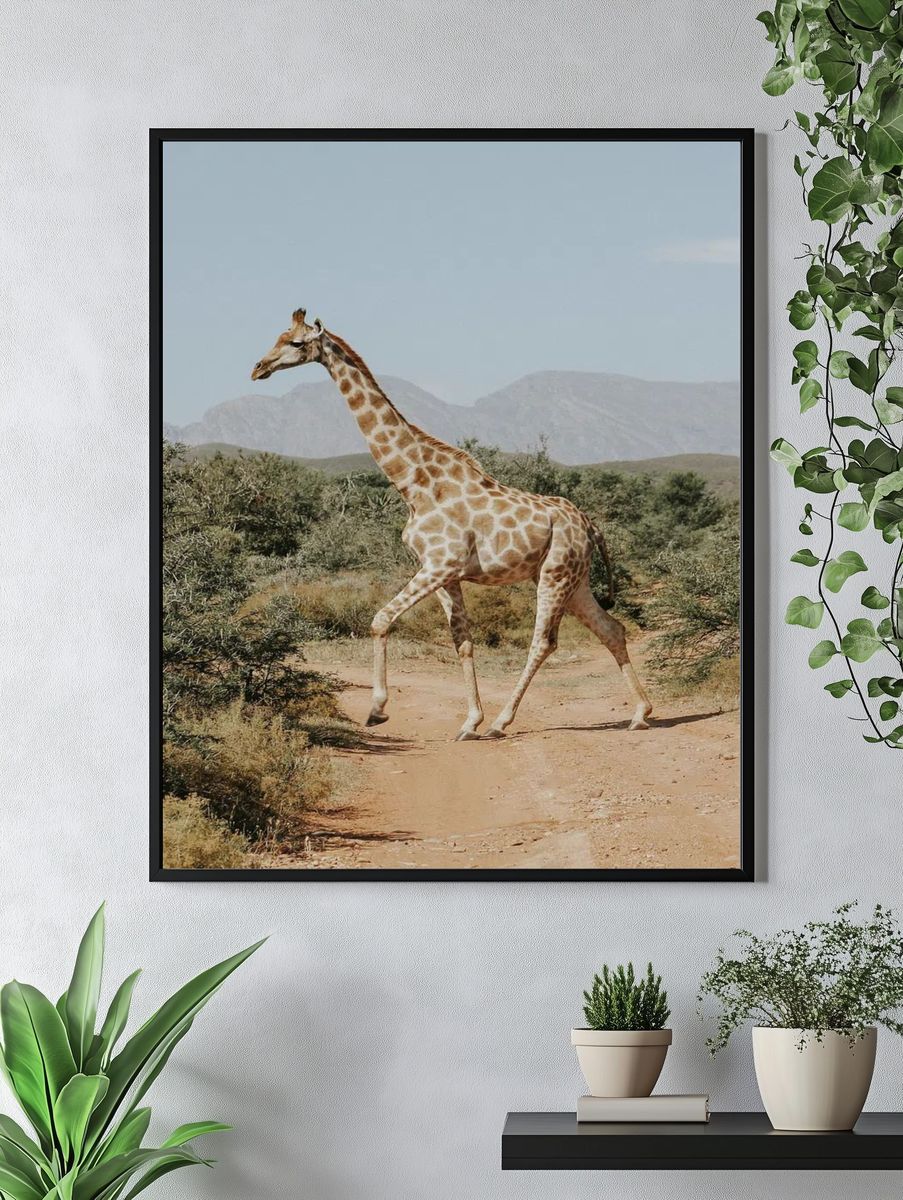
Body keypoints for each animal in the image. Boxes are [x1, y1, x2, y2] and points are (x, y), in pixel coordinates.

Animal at [251, 309, 653, 740]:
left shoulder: (440, 564)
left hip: (555, 574)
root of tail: (591, 527)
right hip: (573, 579)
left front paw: (378, 709)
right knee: (611, 629)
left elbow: (380, 620)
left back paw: (502, 722)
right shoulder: (445, 574)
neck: (414, 484)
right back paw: (640, 713)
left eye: (296, 343)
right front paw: (469, 721)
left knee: (544, 642)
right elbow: (462, 641)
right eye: (277, 336)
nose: (258, 368)